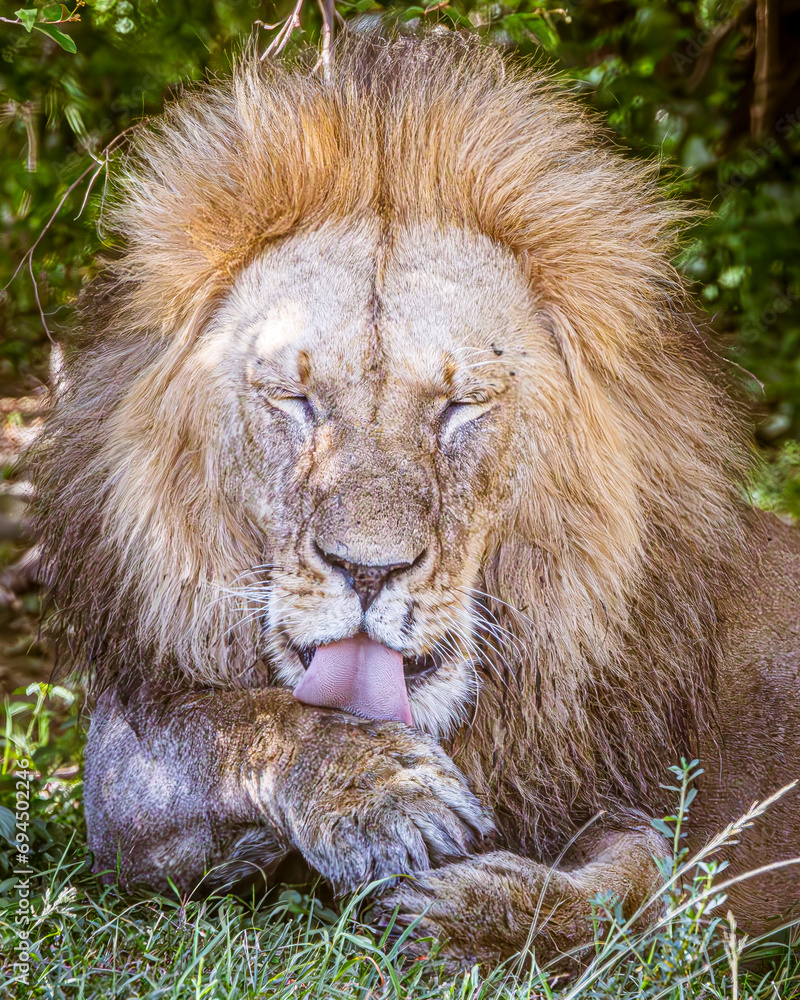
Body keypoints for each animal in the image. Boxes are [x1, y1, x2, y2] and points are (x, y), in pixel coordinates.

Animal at [33, 33, 800, 969]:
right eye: (295, 400)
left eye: (460, 405)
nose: (369, 572)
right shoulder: (125, 774)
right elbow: (233, 726)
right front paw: (378, 790)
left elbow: (648, 888)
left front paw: (478, 911)